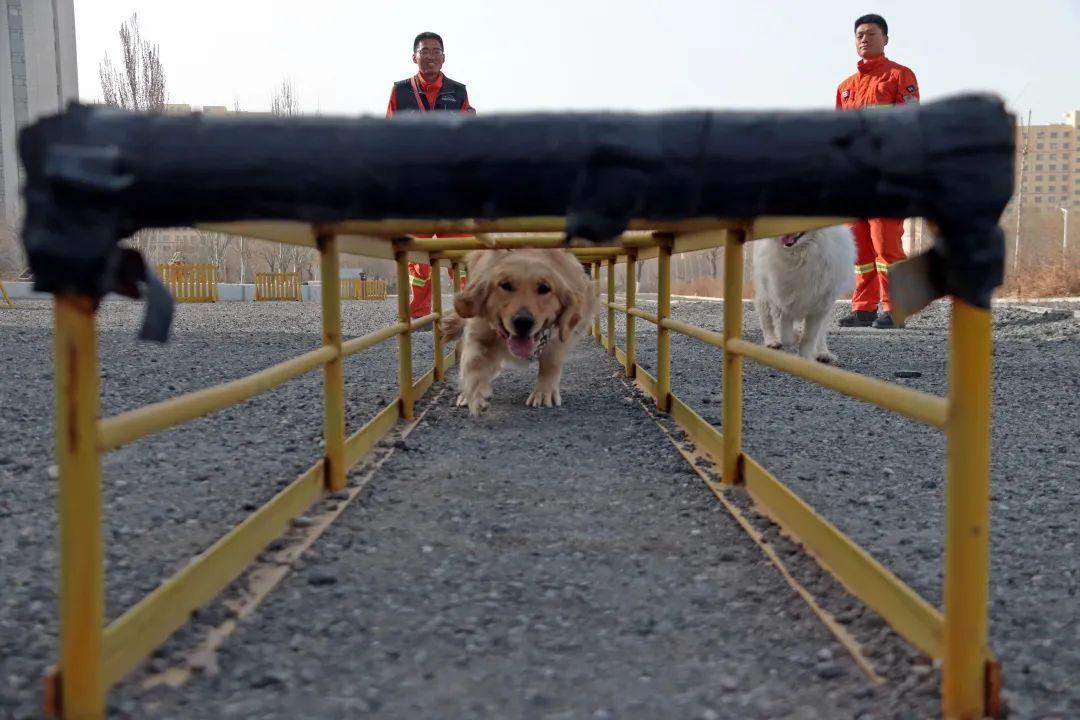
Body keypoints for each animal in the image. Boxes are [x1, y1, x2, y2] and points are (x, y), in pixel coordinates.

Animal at [751, 225, 851, 362]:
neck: (800, 254)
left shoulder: (820, 307)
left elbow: (810, 337)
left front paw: (806, 358)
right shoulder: (780, 302)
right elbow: (785, 335)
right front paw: (796, 336)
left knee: (821, 332)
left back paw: (823, 353)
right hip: (764, 294)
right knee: (766, 320)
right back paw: (772, 342)